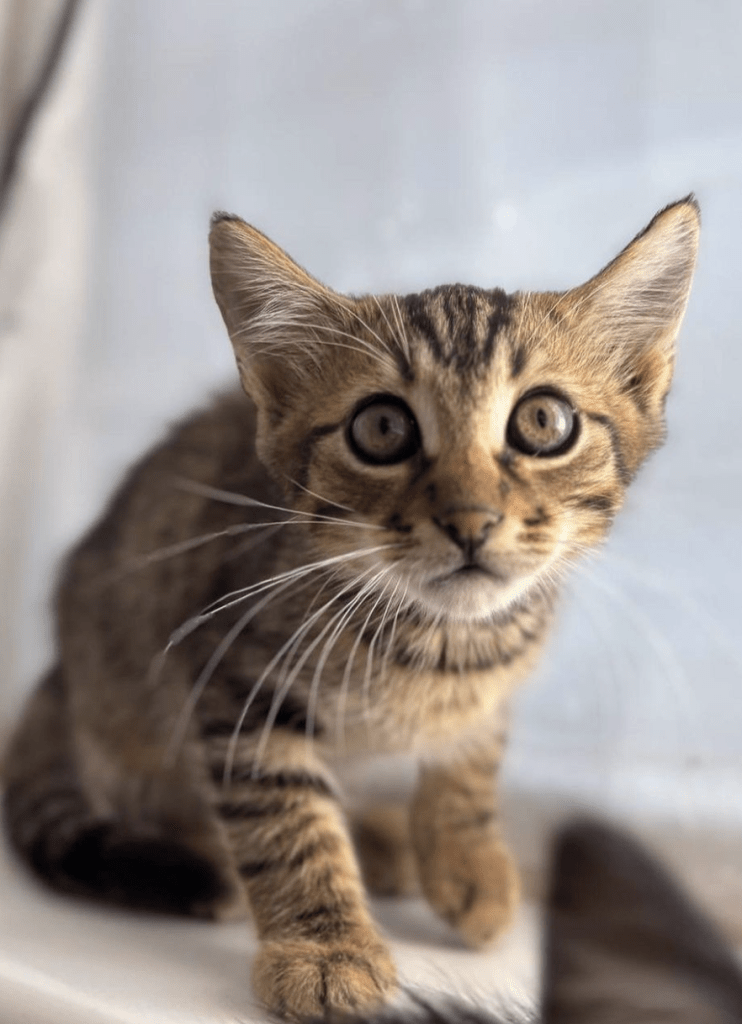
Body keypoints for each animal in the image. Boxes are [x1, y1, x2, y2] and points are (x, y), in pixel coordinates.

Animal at [5, 195, 695, 1019]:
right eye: (382, 428)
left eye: (543, 422)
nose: (470, 519)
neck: (442, 641)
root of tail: (56, 678)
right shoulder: (234, 676)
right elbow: (286, 819)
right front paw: (324, 948)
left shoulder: (489, 688)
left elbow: (473, 753)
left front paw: (466, 857)